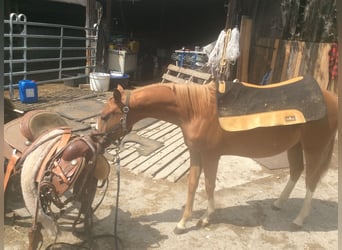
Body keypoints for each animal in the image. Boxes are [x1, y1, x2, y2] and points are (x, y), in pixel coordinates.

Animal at [96, 80, 336, 234]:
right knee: (296, 171)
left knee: (311, 181)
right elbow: (193, 184)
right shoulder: (195, 153)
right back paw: (278, 203)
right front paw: (183, 222)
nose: (97, 144)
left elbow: (209, 185)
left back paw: (299, 220)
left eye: (106, 116)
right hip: (295, 146)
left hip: (314, 147)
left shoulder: (211, 156)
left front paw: (205, 217)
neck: (195, 110)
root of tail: (331, 98)